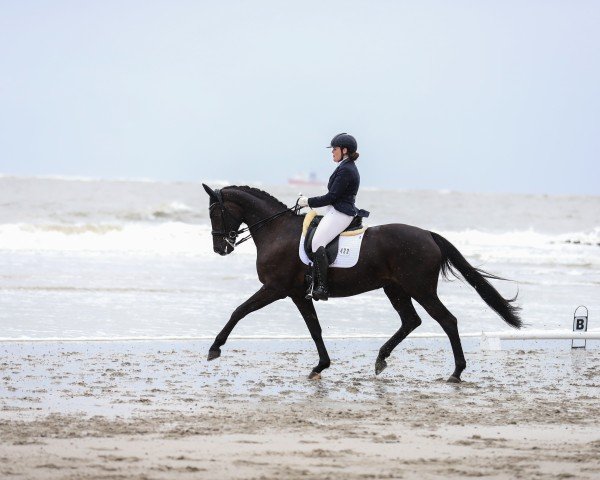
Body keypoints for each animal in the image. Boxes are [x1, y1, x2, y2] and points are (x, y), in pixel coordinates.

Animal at [203, 184, 520, 382]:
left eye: (215, 212)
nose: (220, 248)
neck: (276, 231)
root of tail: (429, 234)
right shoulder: (298, 294)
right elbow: (315, 329)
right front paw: (321, 366)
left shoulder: (275, 289)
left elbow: (239, 311)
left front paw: (215, 348)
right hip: (395, 289)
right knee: (411, 321)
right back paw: (381, 359)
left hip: (420, 288)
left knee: (447, 320)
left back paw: (456, 372)